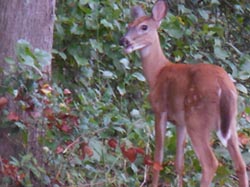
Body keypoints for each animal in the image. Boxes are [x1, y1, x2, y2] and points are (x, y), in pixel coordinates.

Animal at [120, 0, 248, 187]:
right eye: (129, 25)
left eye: (144, 27)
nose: (123, 40)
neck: (157, 72)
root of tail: (223, 86)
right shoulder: (180, 122)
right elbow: (179, 163)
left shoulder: (160, 109)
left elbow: (158, 157)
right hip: (230, 122)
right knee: (241, 164)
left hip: (197, 118)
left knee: (210, 163)